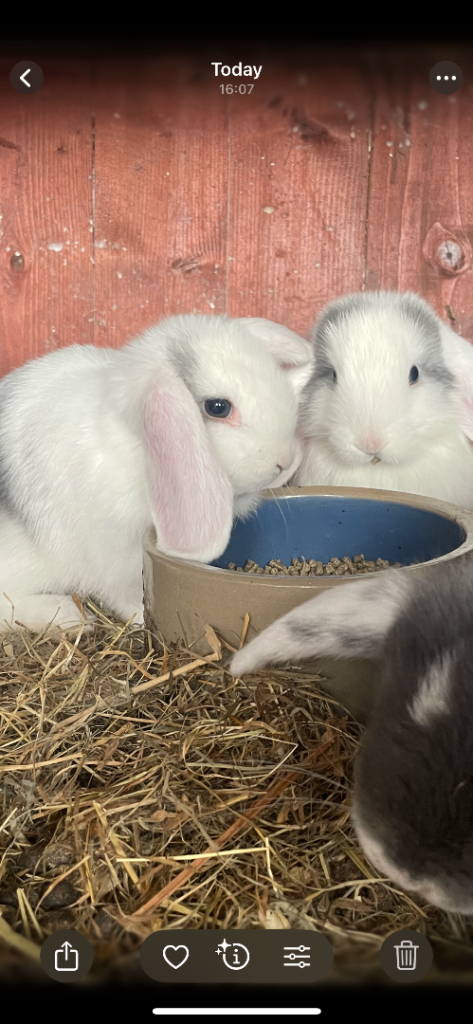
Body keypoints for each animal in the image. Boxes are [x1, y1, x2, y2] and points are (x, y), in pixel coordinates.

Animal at [0, 314, 314, 634]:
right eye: (218, 407)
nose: (284, 460)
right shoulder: (117, 557)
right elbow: (127, 594)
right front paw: (141, 616)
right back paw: (70, 616)